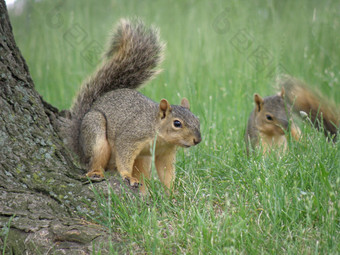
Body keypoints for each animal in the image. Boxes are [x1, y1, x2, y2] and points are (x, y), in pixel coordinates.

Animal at [60, 19, 202, 191]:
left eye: (197, 120)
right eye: (177, 123)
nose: (197, 140)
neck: (159, 134)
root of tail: (80, 147)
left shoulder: (165, 153)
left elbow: (166, 172)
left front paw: (172, 192)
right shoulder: (131, 137)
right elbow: (123, 155)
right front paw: (127, 175)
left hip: (142, 160)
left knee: (142, 174)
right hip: (95, 132)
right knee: (95, 161)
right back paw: (97, 172)